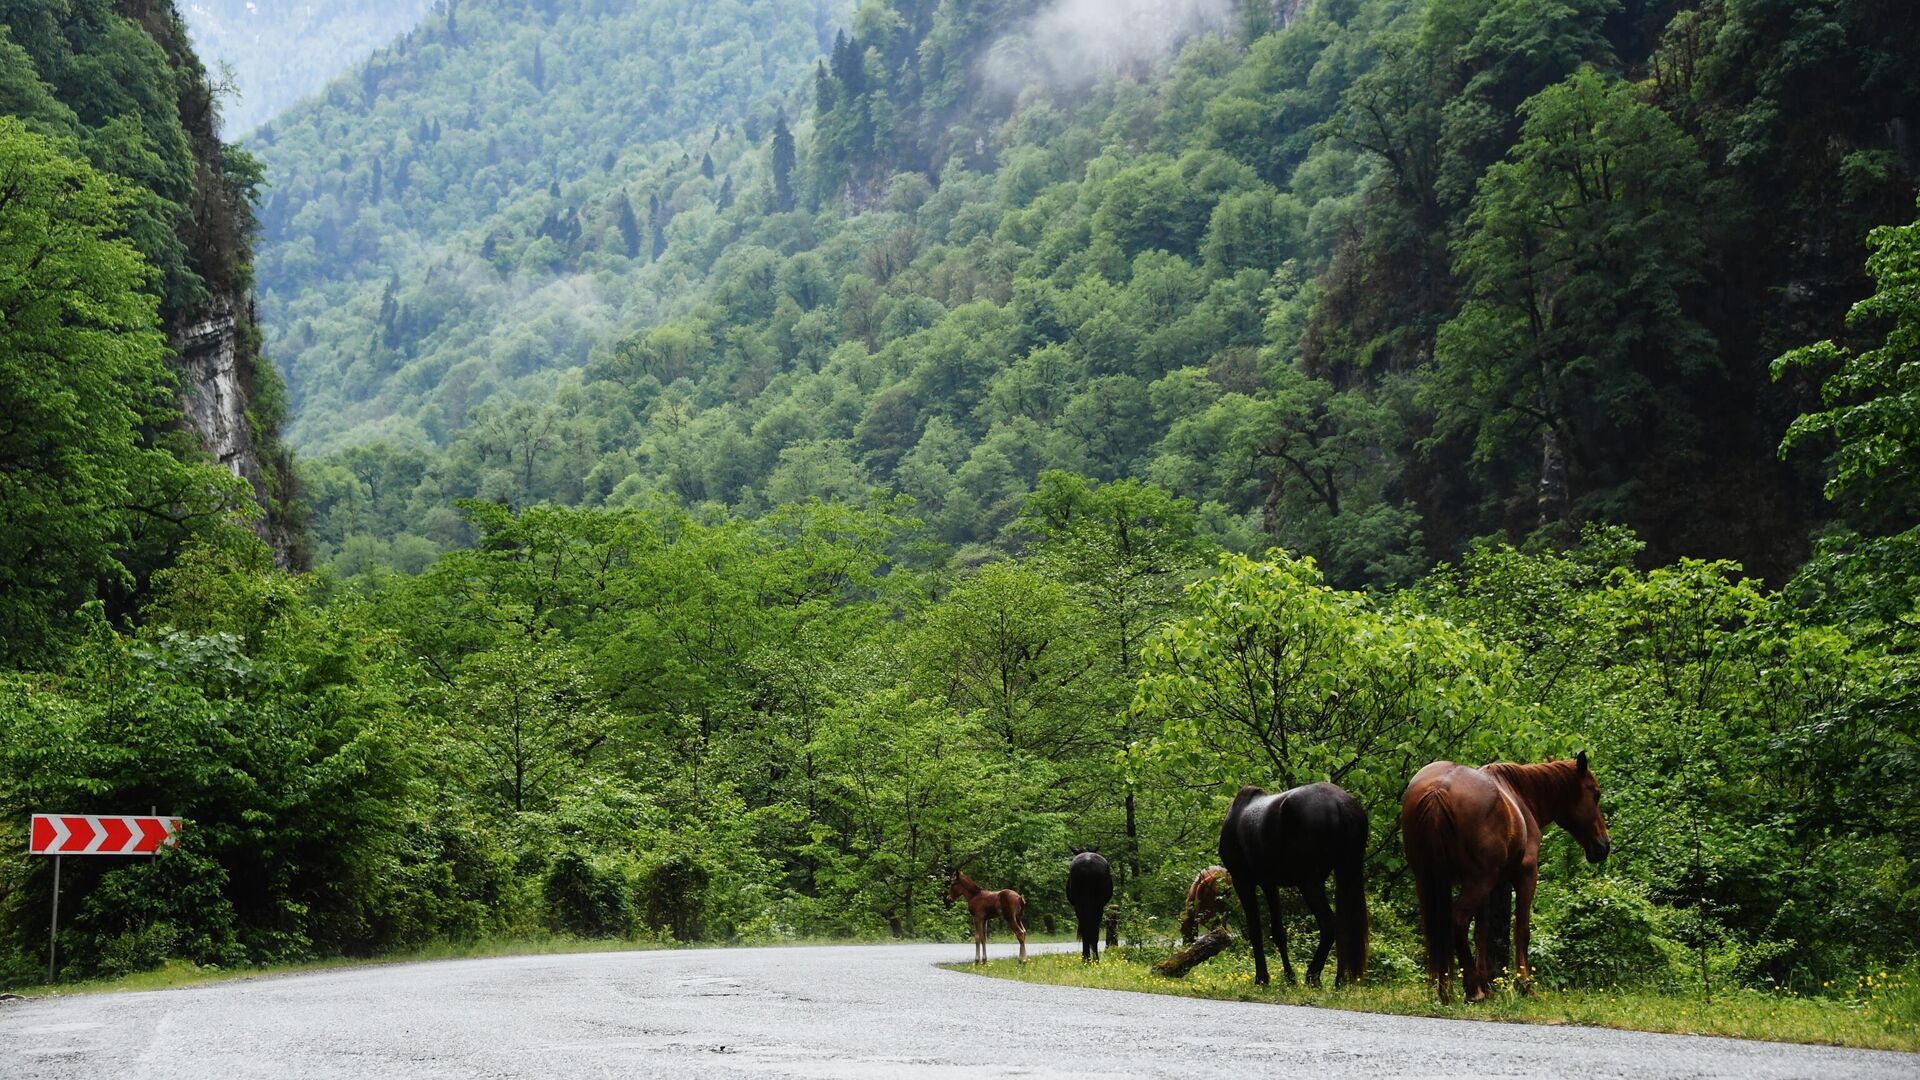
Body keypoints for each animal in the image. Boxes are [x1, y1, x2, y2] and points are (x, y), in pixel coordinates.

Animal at [1213, 780, 1367, 983]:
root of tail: (1339, 803)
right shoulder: (1269, 884)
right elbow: (1278, 932)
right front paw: (1289, 977)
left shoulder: (1244, 881)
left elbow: (1256, 931)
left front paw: (1262, 978)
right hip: (1347, 871)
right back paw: (1340, 980)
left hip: (1309, 883)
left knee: (1328, 925)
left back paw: (1313, 976)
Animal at [1405, 749, 1612, 999]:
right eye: (1596, 794)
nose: (1603, 846)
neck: (1520, 797)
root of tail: (1438, 789)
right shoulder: (1525, 876)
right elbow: (1521, 931)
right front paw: (1524, 985)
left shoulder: (1486, 886)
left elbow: (1481, 932)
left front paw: (1486, 984)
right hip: (1476, 882)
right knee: (1458, 921)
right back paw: (1473, 991)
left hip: (1429, 880)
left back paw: (1447, 991)